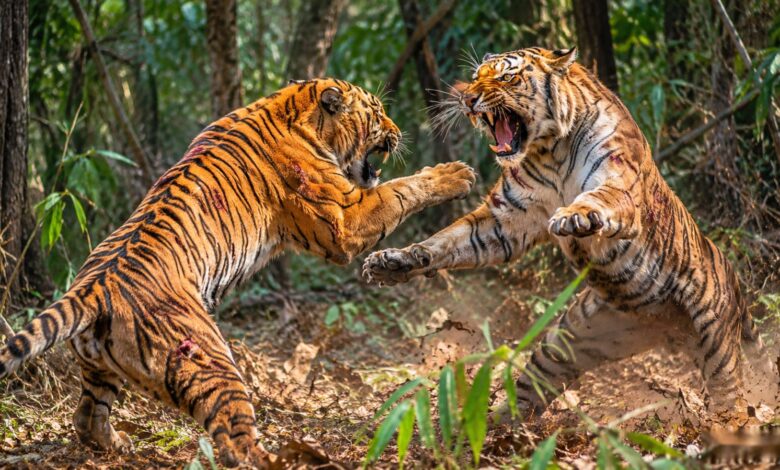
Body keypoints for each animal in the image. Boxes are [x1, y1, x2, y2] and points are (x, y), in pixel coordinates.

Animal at [0, 78, 476, 466]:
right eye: (376, 112)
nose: (398, 132)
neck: (293, 106)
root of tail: (92, 286)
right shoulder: (347, 218)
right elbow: (401, 190)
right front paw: (456, 174)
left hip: (101, 370)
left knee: (87, 417)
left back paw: (119, 445)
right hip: (210, 361)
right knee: (234, 442)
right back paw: (285, 459)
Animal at [363, 47, 774, 422]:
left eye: (508, 77)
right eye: (477, 76)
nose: (468, 98)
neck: (549, 150)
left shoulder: (616, 179)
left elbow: (598, 199)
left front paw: (574, 217)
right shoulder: (504, 221)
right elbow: (449, 239)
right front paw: (394, 261)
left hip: (715, 339)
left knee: (730, 395)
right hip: (576, 337)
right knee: (537, 380)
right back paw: (497, 426)